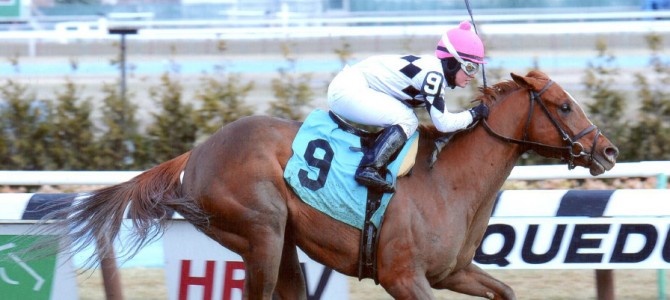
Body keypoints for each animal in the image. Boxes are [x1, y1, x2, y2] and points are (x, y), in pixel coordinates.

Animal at [51, 71, 620, 300]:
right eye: (564, 104)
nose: (608, 151)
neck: (447, 183)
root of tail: (198, 153)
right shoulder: (403, 278)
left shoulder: (451, 273)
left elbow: (505, 289)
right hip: (260, 233)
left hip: (281, 245)